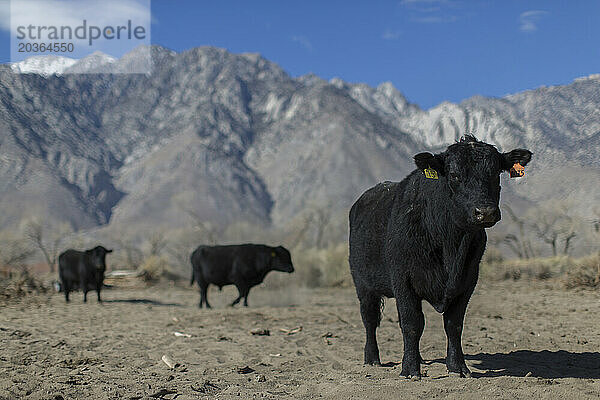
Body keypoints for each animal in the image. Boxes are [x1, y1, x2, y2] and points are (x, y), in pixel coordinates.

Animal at [350, 134, 532, 378]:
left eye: (496, 172)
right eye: (454, 174)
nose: (485, 212)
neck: (450, 245)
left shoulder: (467, 280)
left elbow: (453, 324)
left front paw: (458, 367)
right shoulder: (402, 280)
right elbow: (412, 324)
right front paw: (410, 369)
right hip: (363, 285)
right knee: (369, 320)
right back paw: (372, 359)